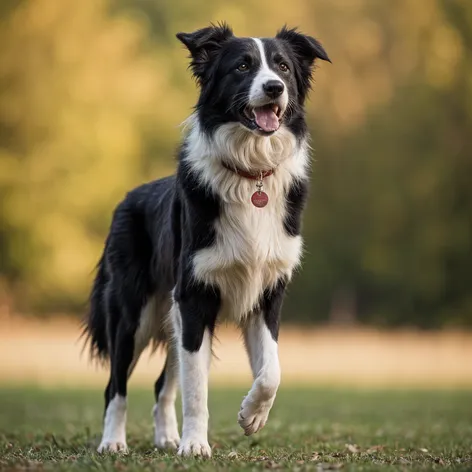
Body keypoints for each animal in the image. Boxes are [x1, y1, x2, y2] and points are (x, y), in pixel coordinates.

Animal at [84, 23, 328, 458]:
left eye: (283, 66)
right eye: (242, 66)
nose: (274, 87)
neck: (251, 174)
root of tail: (126, 199)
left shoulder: (267, 293)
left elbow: (272, 371)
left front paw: (251, 415)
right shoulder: (195, 296)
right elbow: (197, 389)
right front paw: (196, 445)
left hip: (172, 315)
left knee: (162, 384)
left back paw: (166, 437)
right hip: (133, 314)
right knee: (116, 385)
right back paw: (113, 441)